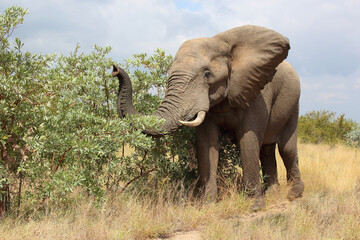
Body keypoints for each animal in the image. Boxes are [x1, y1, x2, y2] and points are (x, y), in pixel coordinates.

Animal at [113, 25, 304, 211]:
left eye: (207, 74)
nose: (115, 69)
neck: (221, 42)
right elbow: (206, 145)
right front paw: (207, 204)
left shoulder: (255, 91)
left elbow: (248, 141)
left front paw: (255, 206)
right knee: (267, 149)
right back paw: (273, 194)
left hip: (293, 103)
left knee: (286, 148)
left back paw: (294, 194)